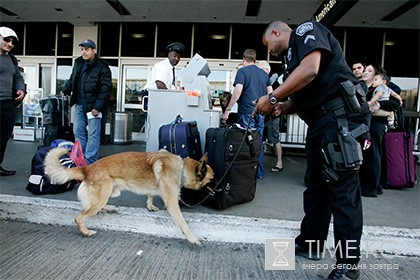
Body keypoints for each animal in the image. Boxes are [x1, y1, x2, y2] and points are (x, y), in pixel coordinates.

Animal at [44, 149, 215, 245]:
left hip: (111, 191)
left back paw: (110, 208)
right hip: (103, 194)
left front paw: (150, 205)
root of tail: (87, 169)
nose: (219, 188)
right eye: (212, 179)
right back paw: (86, 232)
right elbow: (184, 224)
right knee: (80, 217)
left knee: (97, 206)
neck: (181, 169)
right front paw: (192, 238)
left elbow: (151, 193)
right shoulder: (172, 203)